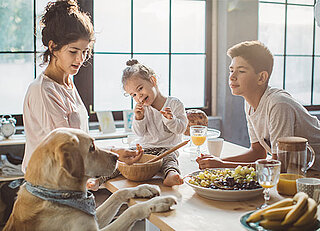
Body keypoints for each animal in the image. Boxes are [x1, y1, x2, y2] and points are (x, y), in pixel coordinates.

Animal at [3, 128, 176, 231]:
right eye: (91, 147)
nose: (117, 156)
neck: (55, 193)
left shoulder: (93, 217)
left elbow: (118, 194)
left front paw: (144, 188)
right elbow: (131, 211)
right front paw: (159, 203)